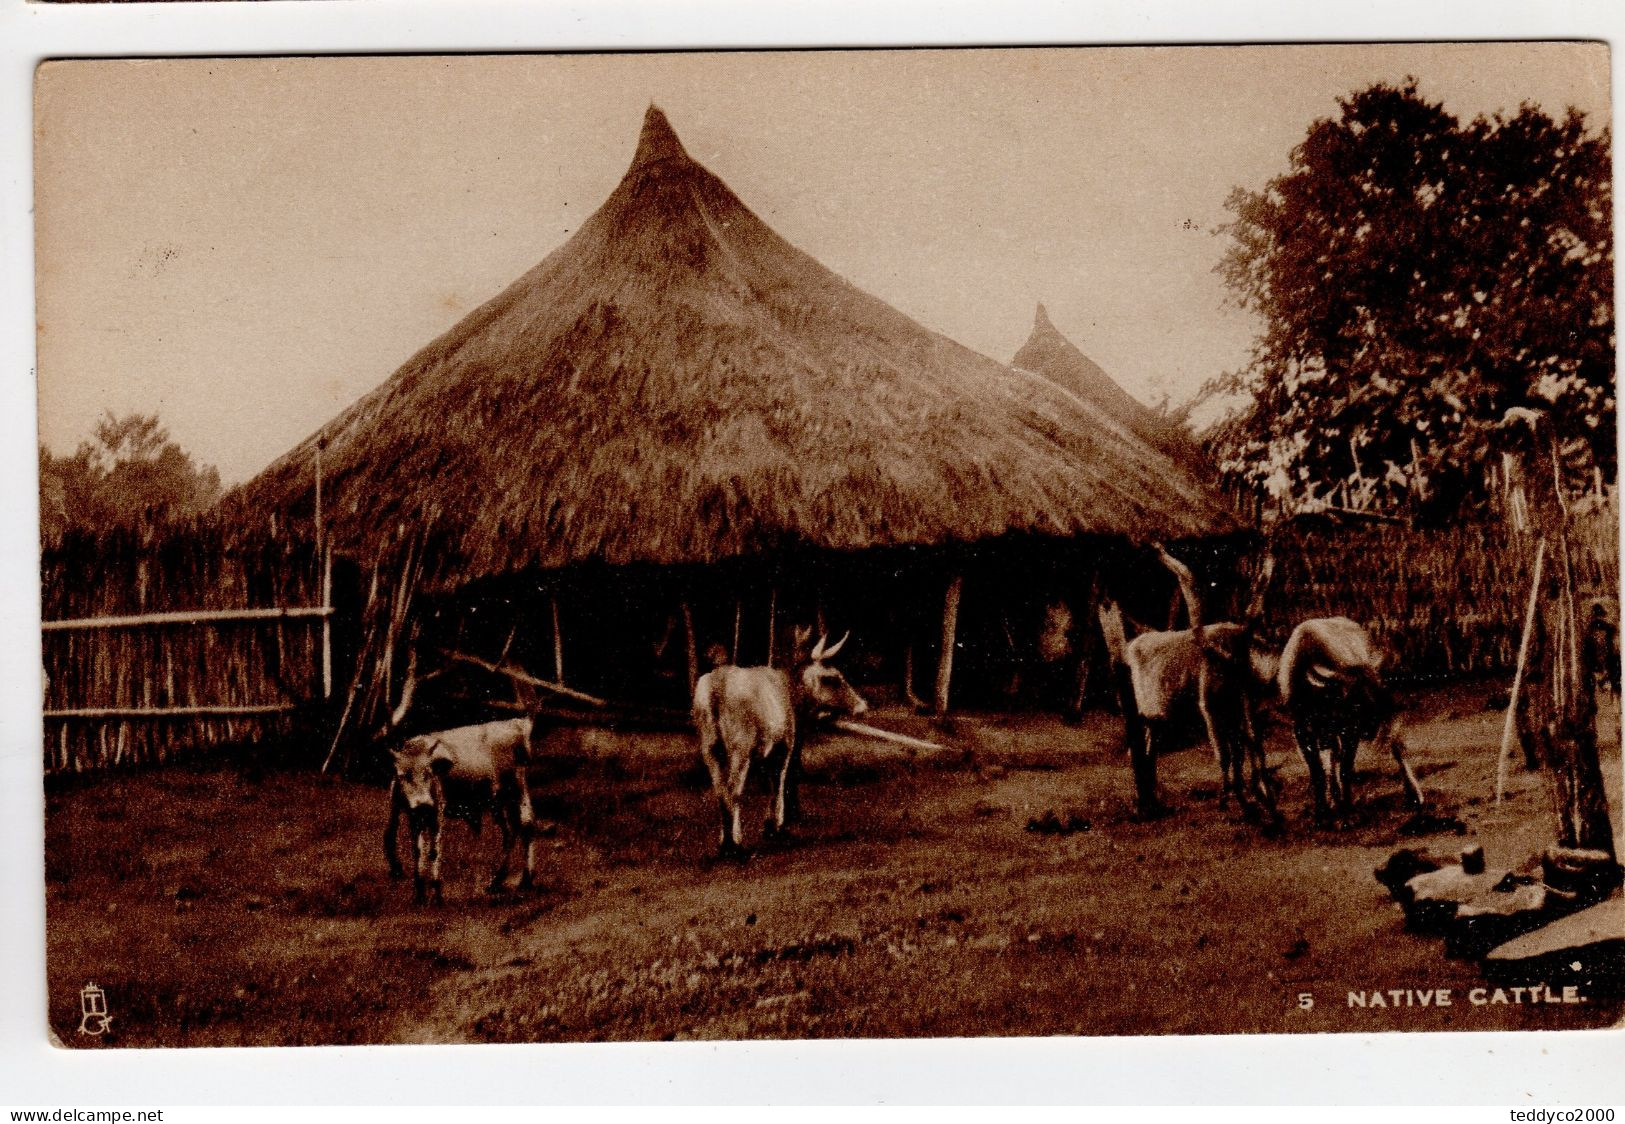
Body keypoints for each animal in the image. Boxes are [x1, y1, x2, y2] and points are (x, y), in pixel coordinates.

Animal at [385, 721, 539, 903]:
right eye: (403, 775)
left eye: (429, 773)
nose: (423, 803)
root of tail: (517, 724)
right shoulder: (414, 816)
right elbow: (418, 850)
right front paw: (420, 894)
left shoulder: (437, 813)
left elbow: (434, 851)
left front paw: (436, 893)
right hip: (498, 803)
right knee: (511, 831)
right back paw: (497, 882)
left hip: (517, 790)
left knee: (526, 826)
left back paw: (525, 880)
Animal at [698, 633, 877, 851]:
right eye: (833, 678)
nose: (862, 705)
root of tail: (717, 683)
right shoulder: (784, 746)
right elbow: (780, 781)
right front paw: (775, 826)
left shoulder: (765, 753)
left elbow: (770, 784)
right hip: (740, 748)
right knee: (734, 788)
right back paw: (736, 842)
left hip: (710, 748)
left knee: (720, 790)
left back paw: (724, 842)